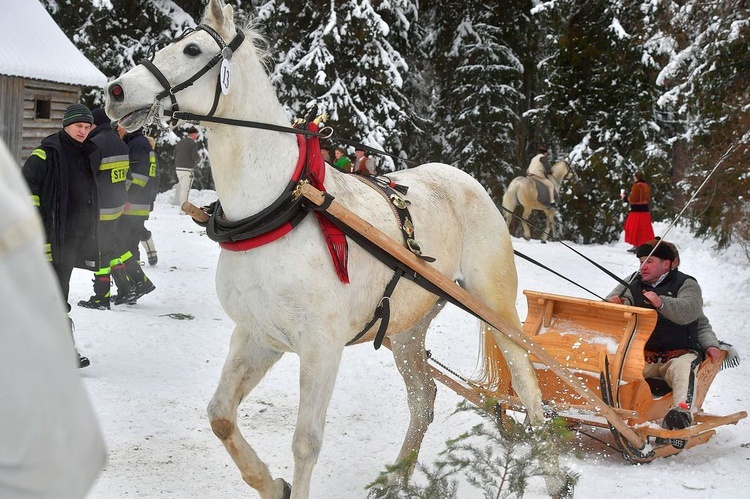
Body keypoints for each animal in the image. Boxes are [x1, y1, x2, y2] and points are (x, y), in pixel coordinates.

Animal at [104, 1, 564, 498]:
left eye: (192, 49)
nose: (115, 91)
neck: (280, 207)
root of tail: (469, 181)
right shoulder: (256, 335)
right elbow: (221, 416)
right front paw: (272, 484)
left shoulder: (321, 345)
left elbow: (306, 441)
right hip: (408, 328)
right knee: (423, 400)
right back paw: (395, 479)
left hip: (493, 305)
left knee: (529, 387)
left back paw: (554, 476)